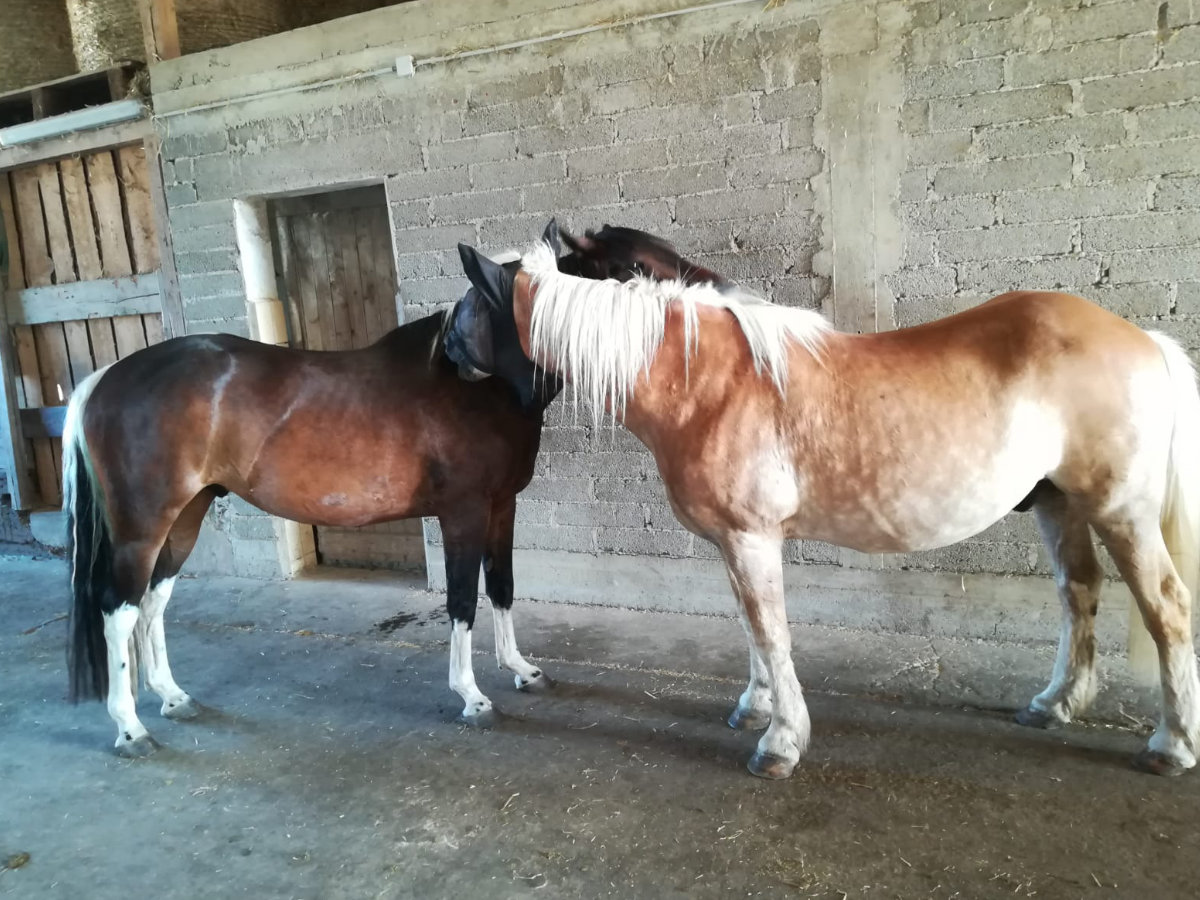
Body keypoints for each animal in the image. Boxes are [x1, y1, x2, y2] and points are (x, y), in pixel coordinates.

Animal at [64, 224, 573, 757]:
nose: (459, 359)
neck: (477, 393)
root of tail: (104, 379)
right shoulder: (463, 513)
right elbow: (461, 602)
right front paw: (471, 696)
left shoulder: (501, 506)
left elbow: (502, 587)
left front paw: (522, 670)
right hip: (141, 529)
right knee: (118, 611)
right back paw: (129, 727)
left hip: (184, 516)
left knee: (152, 601)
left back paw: (172, 697)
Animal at [452, 225, 1200, 779]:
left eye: (467, 309)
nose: (448, 354)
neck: (710, 380)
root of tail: (1144, 341)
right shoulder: (736, 542)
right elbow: (752, 627)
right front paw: (755, 709)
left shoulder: (752, 538)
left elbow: (772, 632)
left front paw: (780, 743)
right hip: (1057, 504)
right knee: (1080, 591)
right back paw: (1053, 703)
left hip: (1122, 513)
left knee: (1167, 608)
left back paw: (1171, 745)